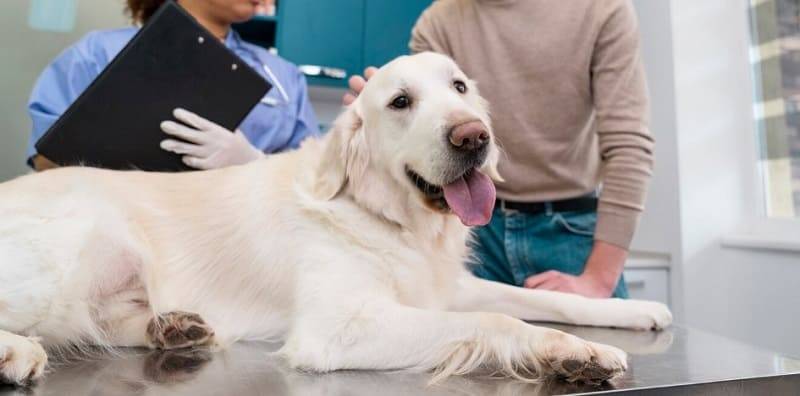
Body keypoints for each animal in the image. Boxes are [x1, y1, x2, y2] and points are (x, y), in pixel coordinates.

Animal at [0, 51, 672, 386]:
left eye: (459, 87)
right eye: (400, 102)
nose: (473, 136)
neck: (385, 217)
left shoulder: (444, 287)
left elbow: (551, 300)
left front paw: (632, 311)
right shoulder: (340, 328)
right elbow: (496, 321)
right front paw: (572, 353)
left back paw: (177, 327)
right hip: (82, 246)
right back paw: (19, 353)